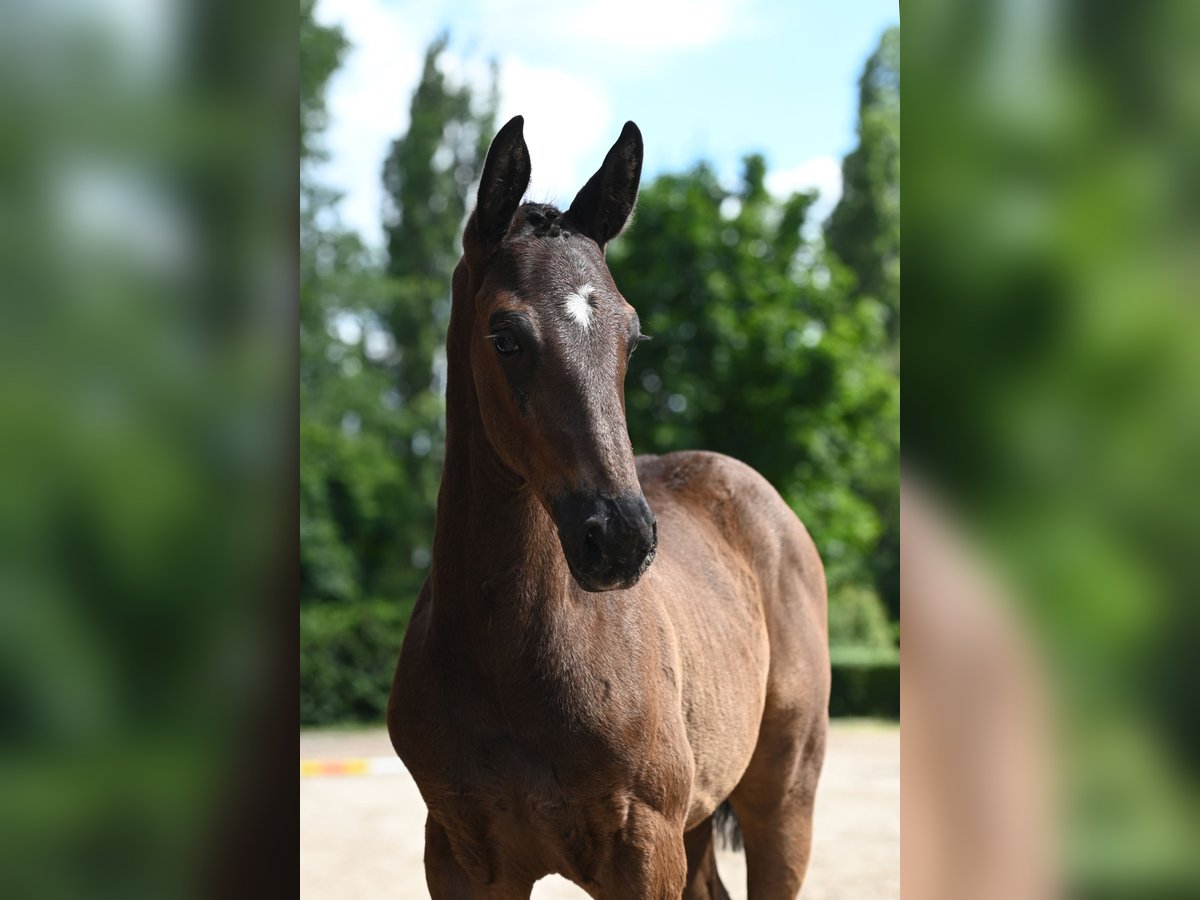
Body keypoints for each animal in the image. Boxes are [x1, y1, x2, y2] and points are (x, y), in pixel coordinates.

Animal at [388, 116, 830, 897]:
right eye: (505, 335)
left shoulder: (642, 849)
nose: (619, 538)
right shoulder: (458, 856)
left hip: (782, 803)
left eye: (632, 335)